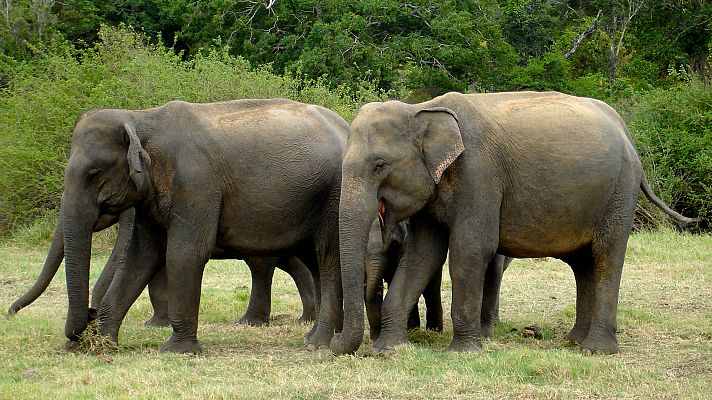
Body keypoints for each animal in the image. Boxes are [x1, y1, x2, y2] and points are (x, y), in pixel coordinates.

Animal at [8, 206, 318, 328]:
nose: (10, 312)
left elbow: (125, 260)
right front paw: (157, 322)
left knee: (262, 265)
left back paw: (252, 322)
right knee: (293, 265)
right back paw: (306, 318)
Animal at [53, 99, 348, 354]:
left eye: (93, 173)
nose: (88, 318)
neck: (141, 118)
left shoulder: (195, 183)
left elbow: (183, 254)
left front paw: (176, 351)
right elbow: (140, 258)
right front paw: (103, 345)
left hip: (329, 198)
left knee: (319, 259)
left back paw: (312, 339)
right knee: (310, 262)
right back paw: (312, 335)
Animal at [330, 91, 700, 356]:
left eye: (379, 165)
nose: (334, 344)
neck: (422, 109)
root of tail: (625, 130)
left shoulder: (479, 174)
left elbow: (470, 250)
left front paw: (463, 353)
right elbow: (422, 256)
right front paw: (389, 350)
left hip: (619, 192)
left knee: (606, 257)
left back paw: (596, 351)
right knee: (583, 264)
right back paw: (572, 342)